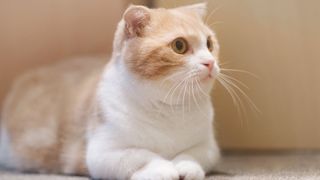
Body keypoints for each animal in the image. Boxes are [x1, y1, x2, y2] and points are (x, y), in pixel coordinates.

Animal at [0, 3, 220, 180]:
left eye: (209, 44)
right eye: (179, 45)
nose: (210, 62)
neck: (169, 109)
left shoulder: (209, 146)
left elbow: (194, 154)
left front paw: (185, 166)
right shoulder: (102, 153)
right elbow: (140, 155)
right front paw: (163, 169)